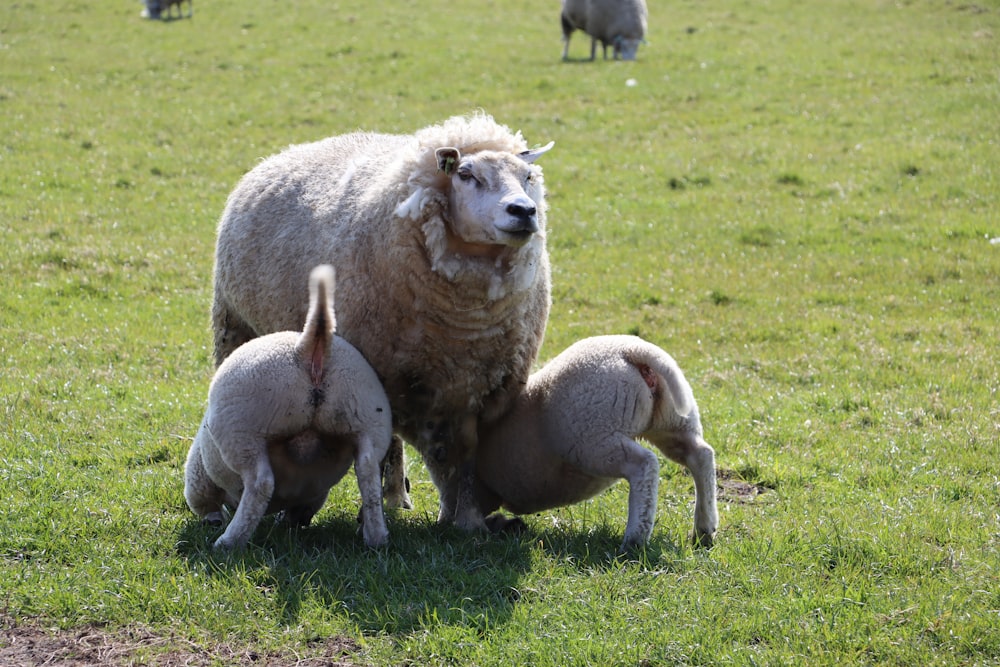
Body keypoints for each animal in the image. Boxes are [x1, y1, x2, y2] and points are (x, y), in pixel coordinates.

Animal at [184, 264, 390, 552]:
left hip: (244, 429)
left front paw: (214, 521)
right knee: (369, 473)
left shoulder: (199, 478)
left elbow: (205, 503)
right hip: (367, 416)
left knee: (261, 483)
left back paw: (229, 542)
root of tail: (309, 346)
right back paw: (376, 537)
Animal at [212, 113, 556, 532]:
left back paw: (397, 496)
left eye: (528, 176)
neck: (467, 321)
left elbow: (463, 460)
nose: (524, 211)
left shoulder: (474, 388)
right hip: (236, 326)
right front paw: (372, 516)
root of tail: (283, 154)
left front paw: (467, 521)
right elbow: (382, 455)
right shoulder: (381, 373)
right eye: (466, 175)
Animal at [470, 336, 716, 552]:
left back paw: (634, 541)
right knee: (700, 455)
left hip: (594, 438)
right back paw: (704, 529)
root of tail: (633, 351)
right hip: (673, 420)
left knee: (644, 464)